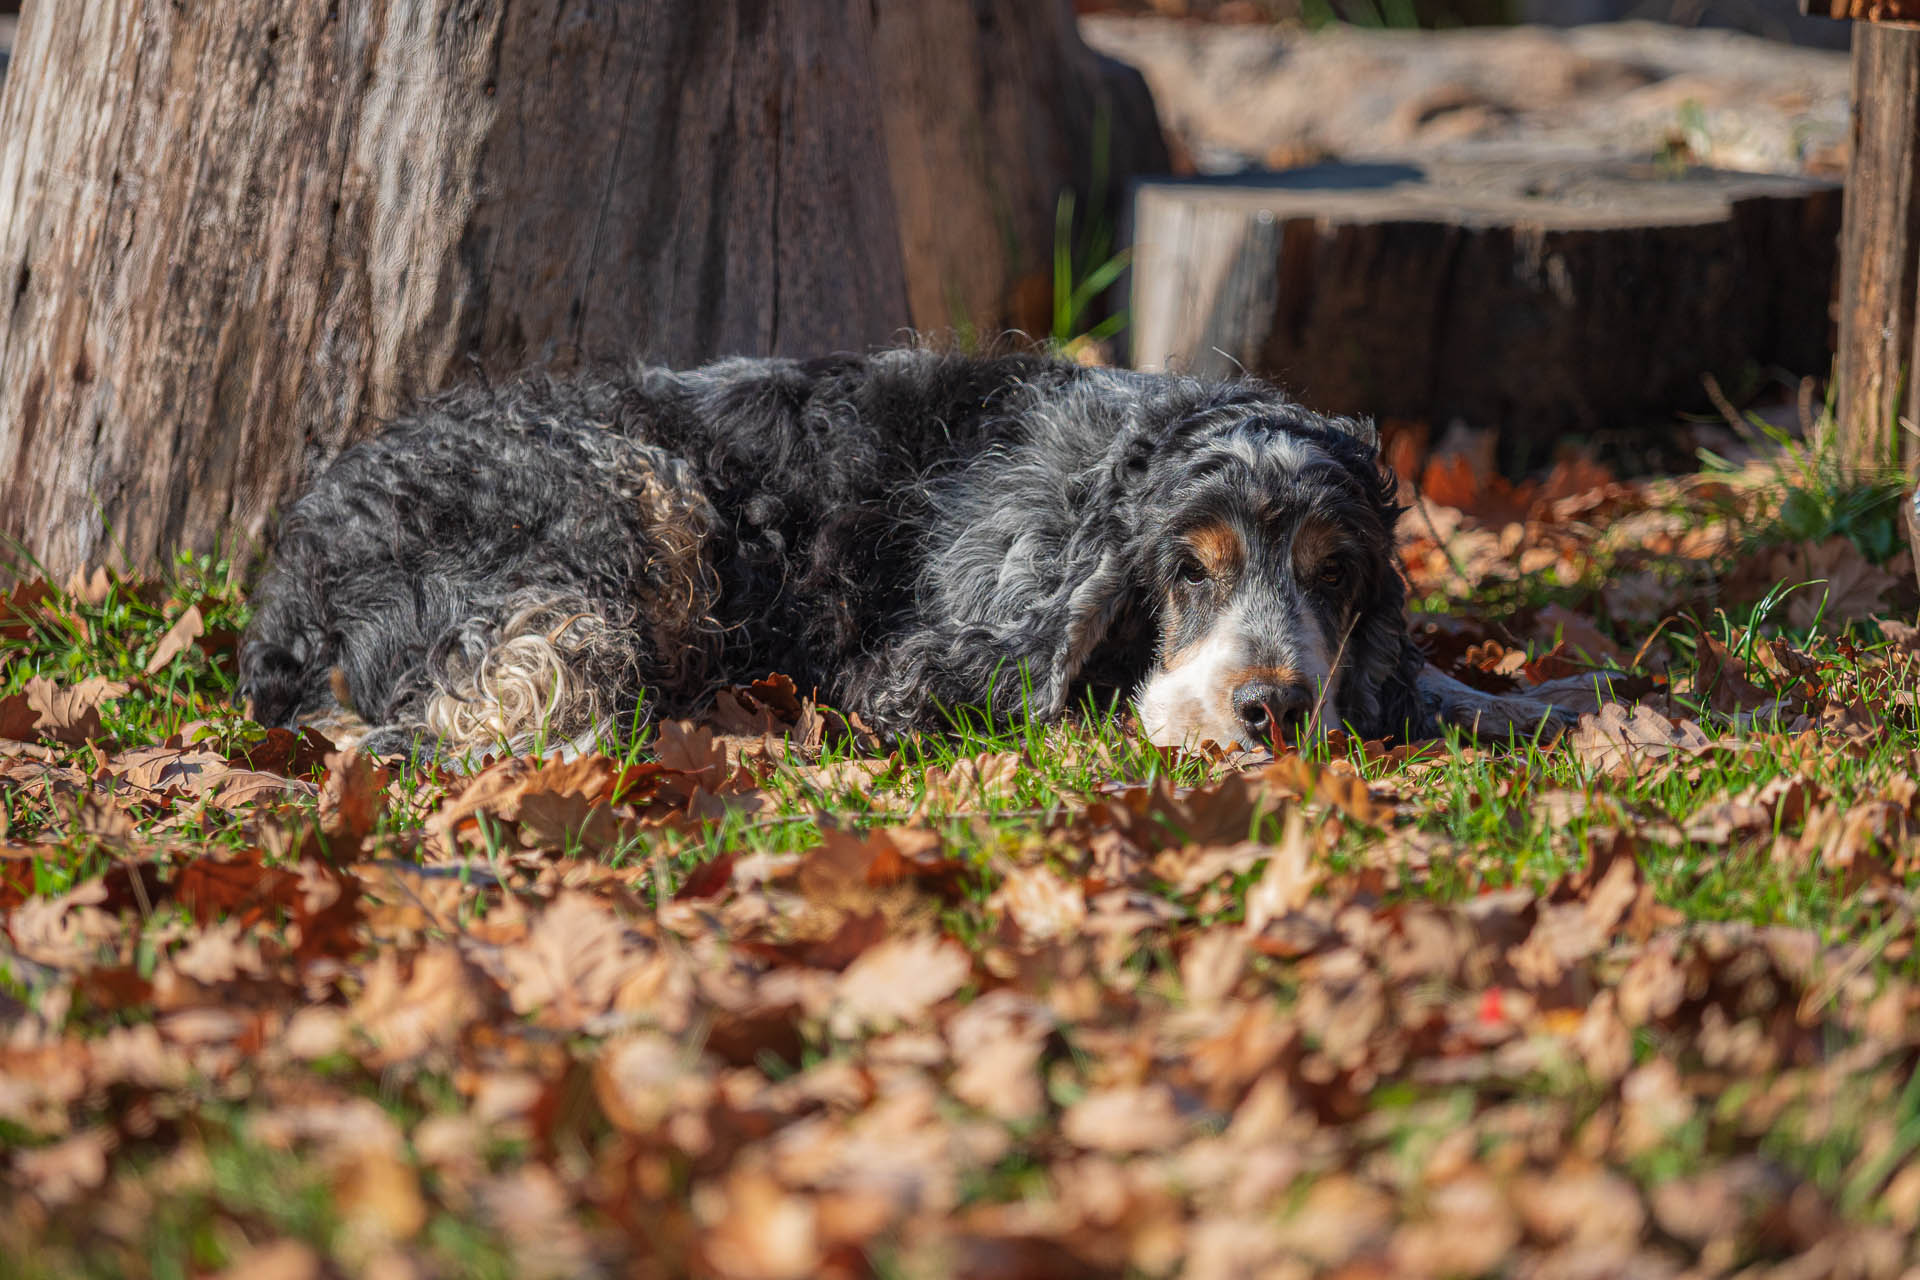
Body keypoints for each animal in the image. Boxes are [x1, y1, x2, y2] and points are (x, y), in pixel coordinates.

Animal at [236, 345, 1559, 759]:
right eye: (1189, 568)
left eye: (1339, 573)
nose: (1272, 709)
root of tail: (295, 559)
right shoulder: (925, 658)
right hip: (627, 501)